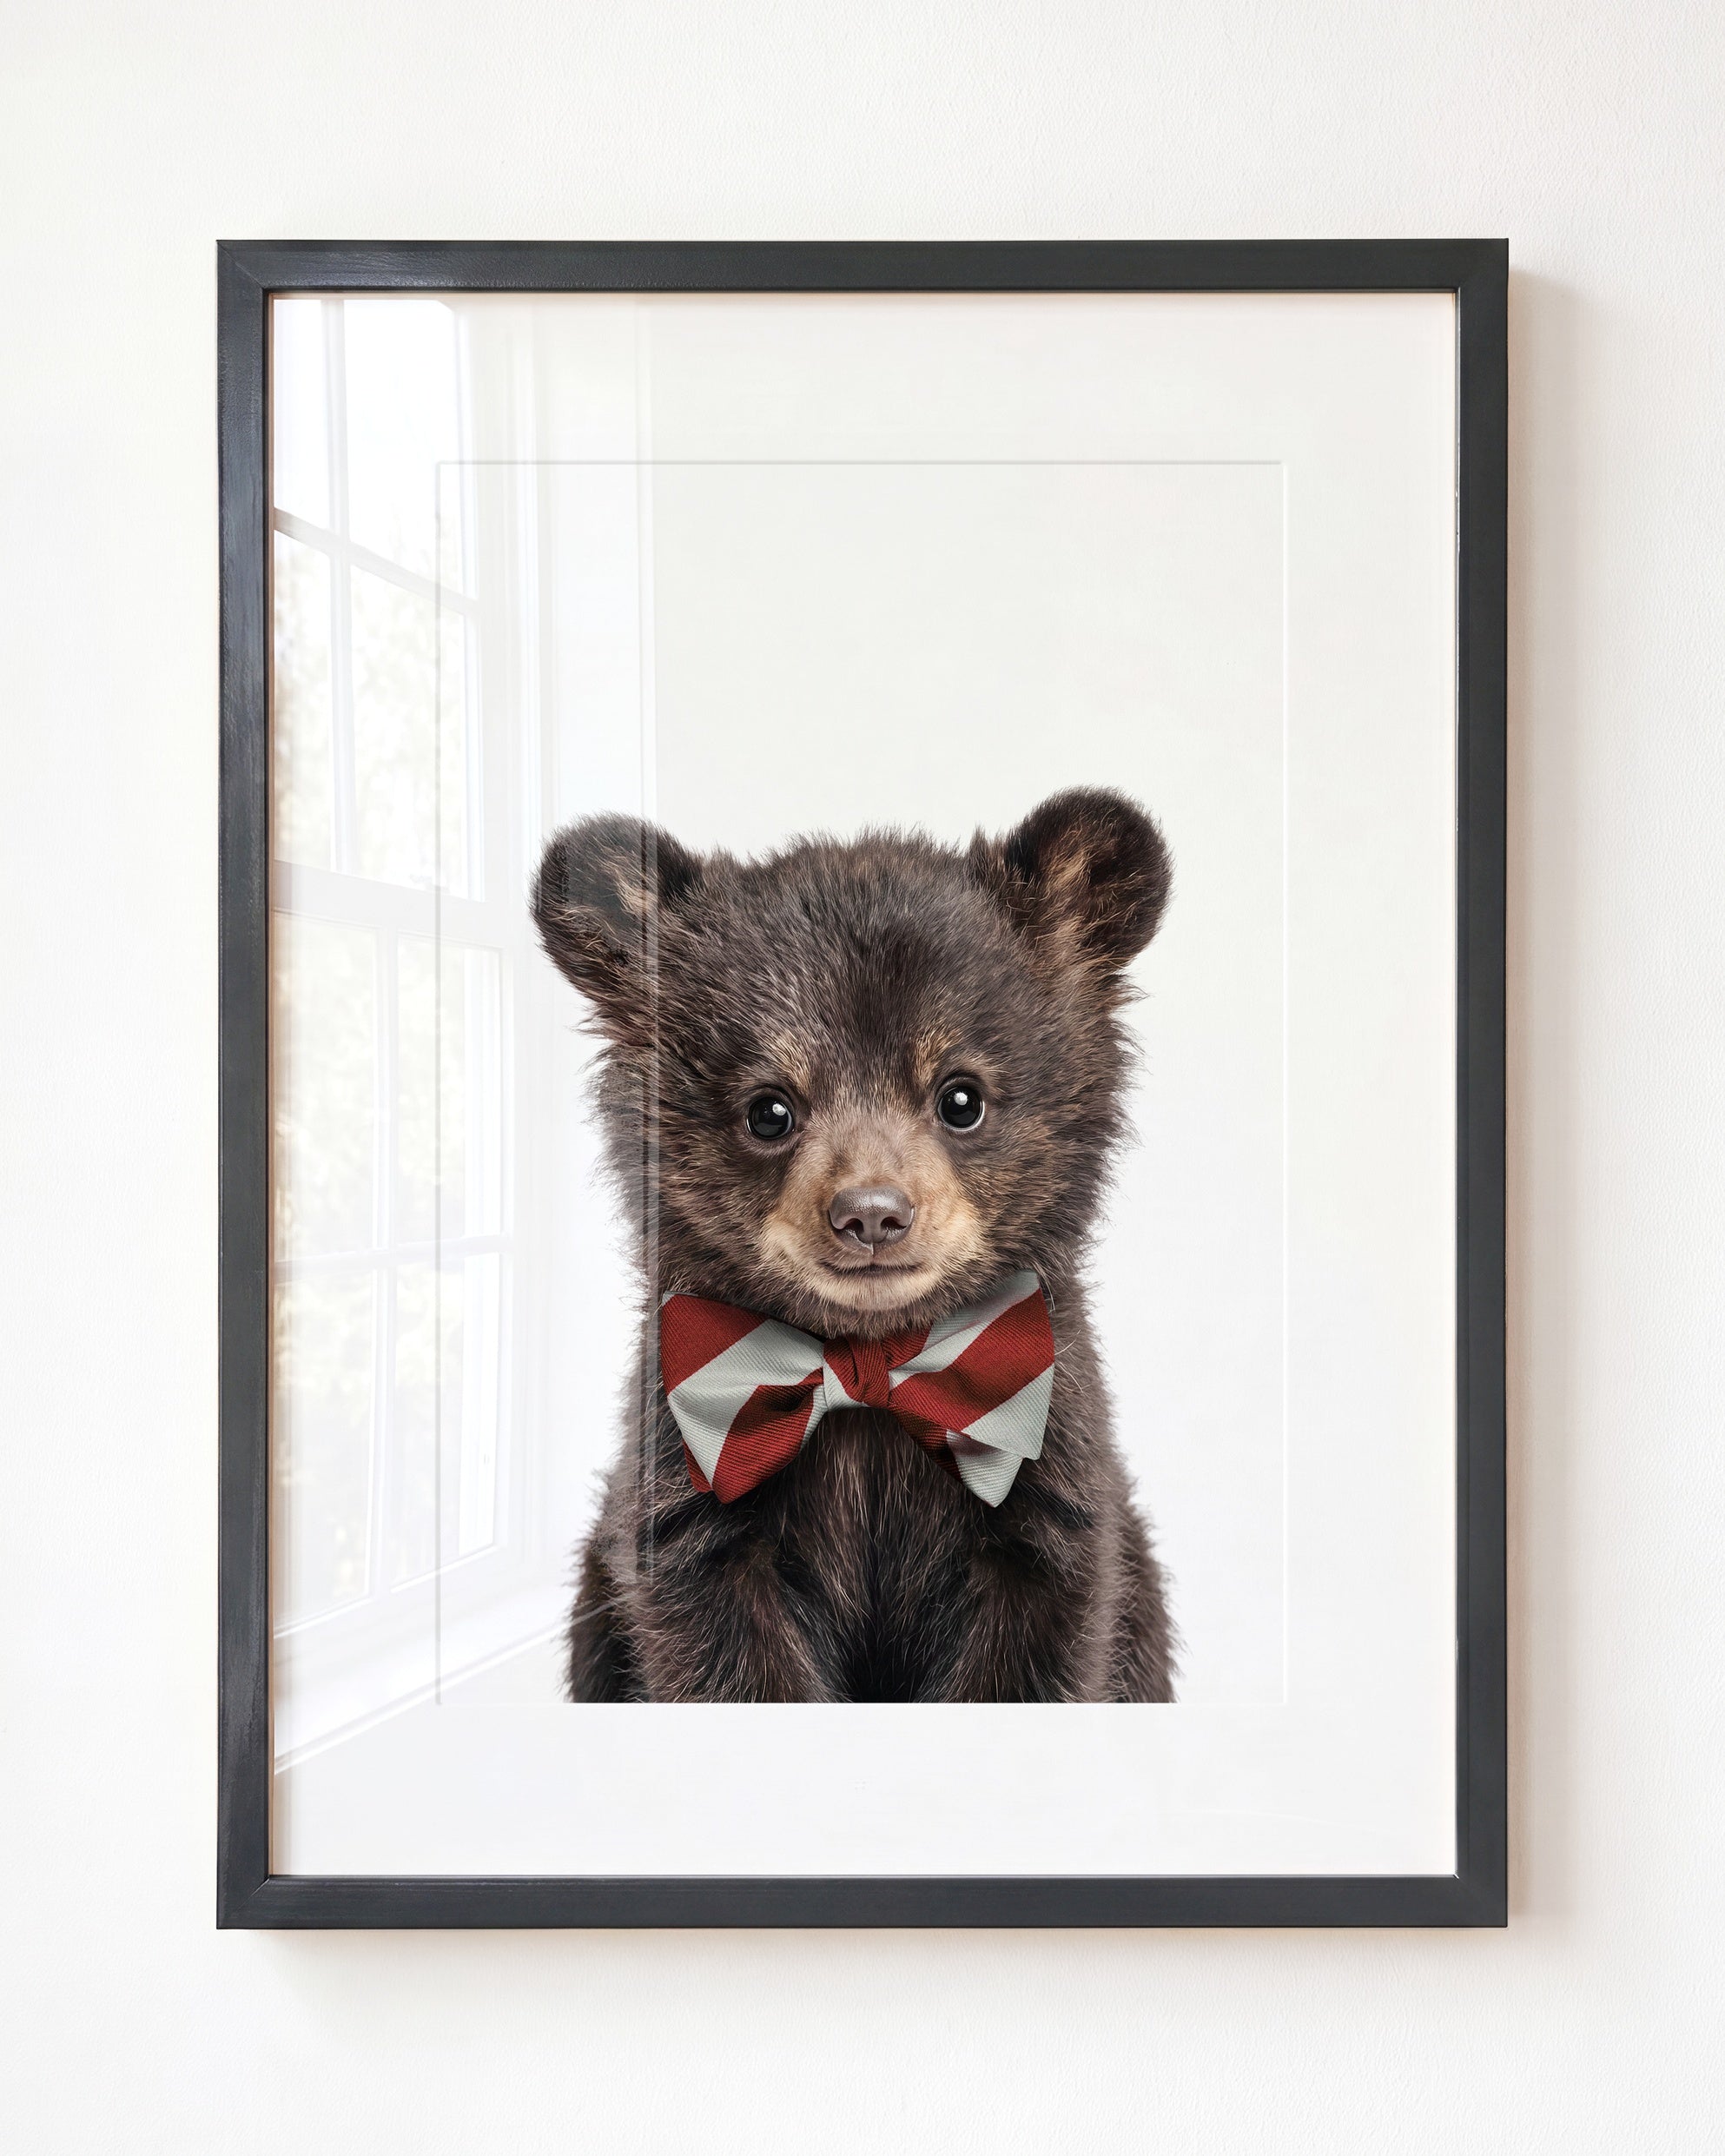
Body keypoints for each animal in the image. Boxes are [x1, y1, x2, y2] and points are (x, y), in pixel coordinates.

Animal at [530, 787, 1178, 1703]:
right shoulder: (689, 1497)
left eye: (962, 1097)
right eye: (769, 1109)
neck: (870, 1369)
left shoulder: (1048, 1484)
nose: (871, 1214)